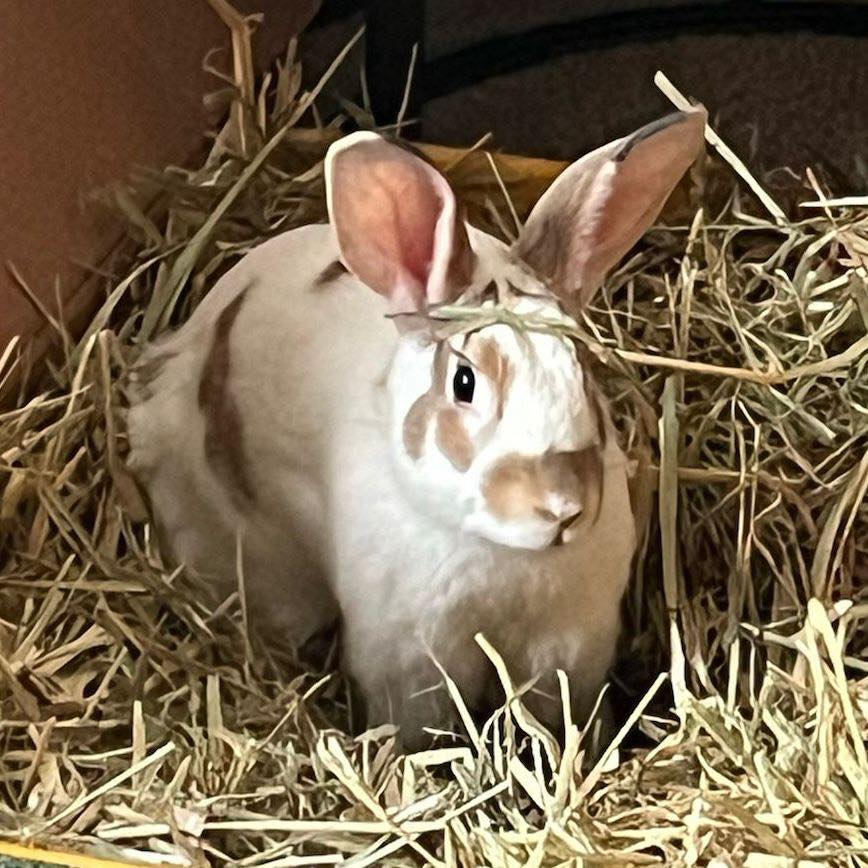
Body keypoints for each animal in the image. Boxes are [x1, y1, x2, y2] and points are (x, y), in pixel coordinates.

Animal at [126, 105, 706, 748]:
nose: (562, 507)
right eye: (463, 382)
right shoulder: (411, 662)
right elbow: (419, 729)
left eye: (583, 368)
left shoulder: (568, 646)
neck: (504, 556)